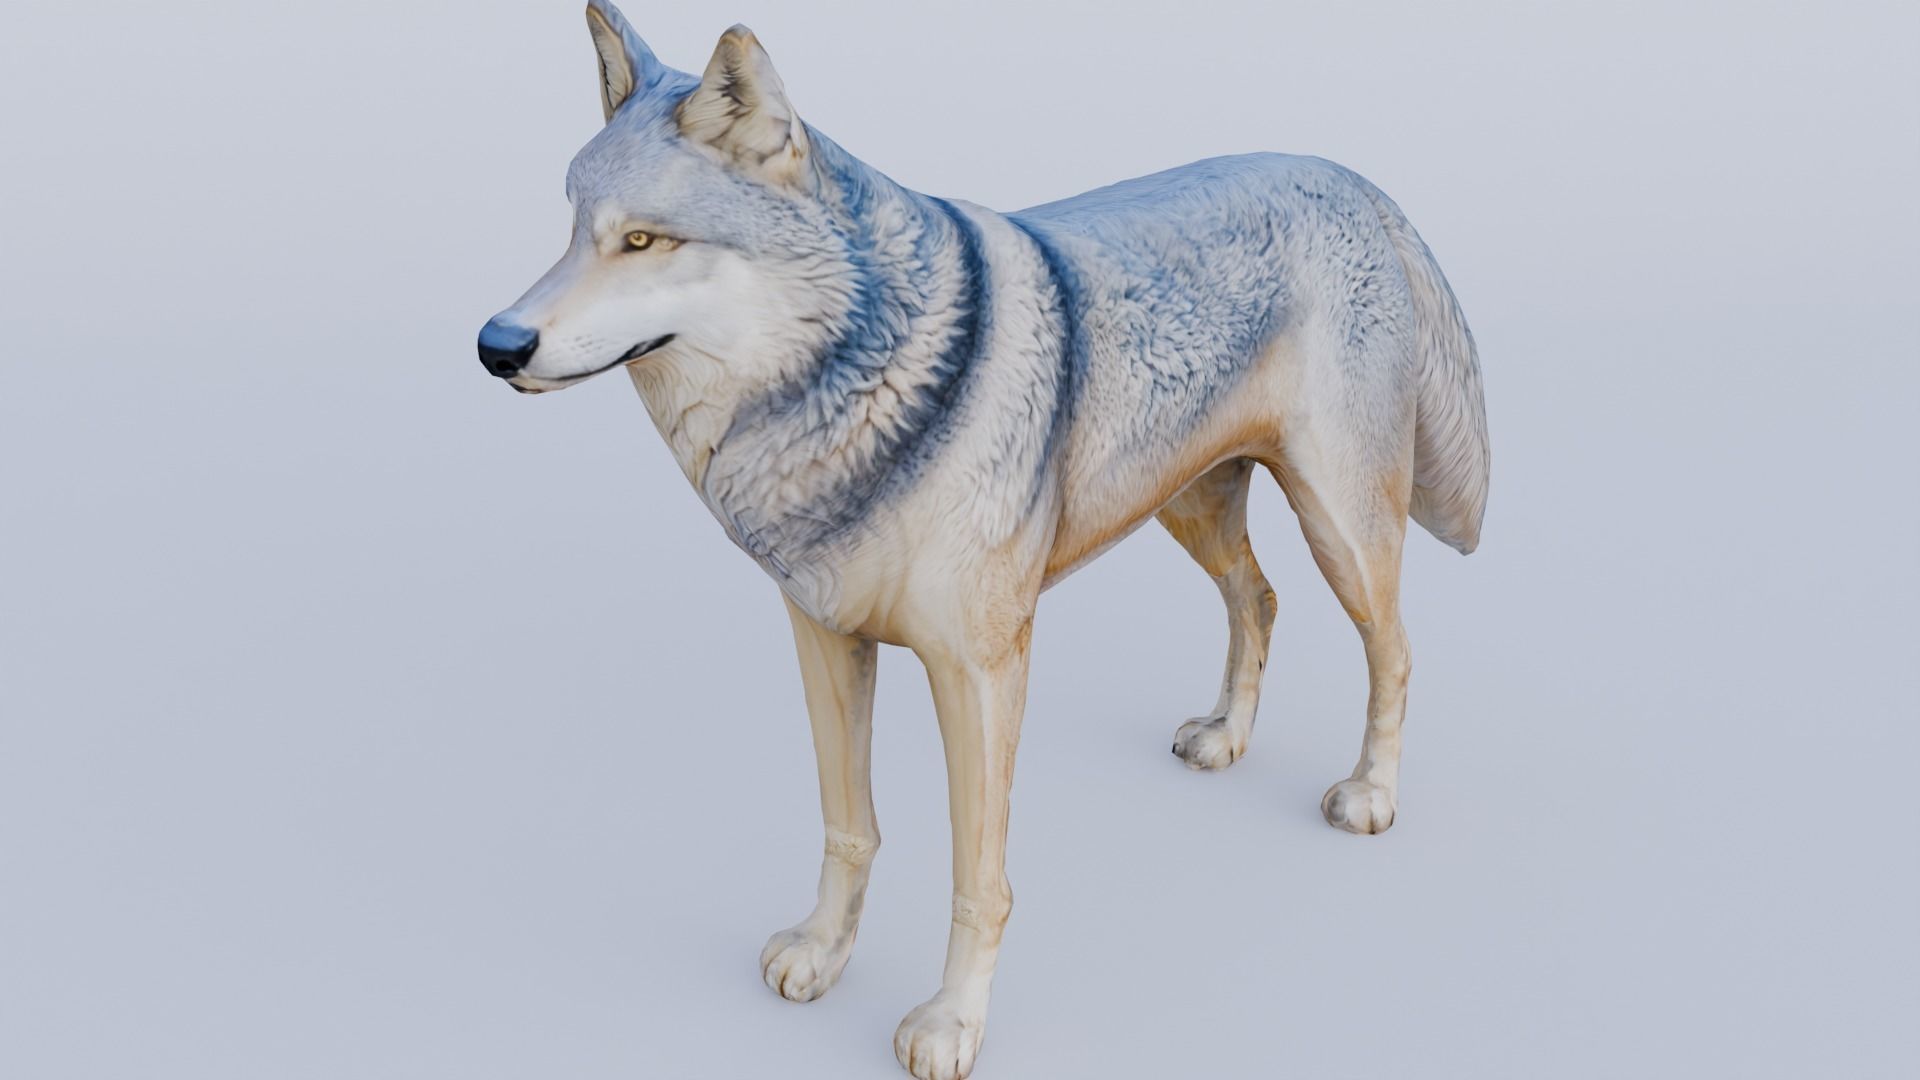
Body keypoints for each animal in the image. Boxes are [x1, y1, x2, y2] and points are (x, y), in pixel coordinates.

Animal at [477, 4, 1488, 1076]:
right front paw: (824, 954)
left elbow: (979, 877)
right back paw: (1227, 738)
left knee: (1394, 648)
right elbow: (849, 824)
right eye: (573, 232)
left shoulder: (982, 670)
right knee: (1258, 598)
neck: (844, 392)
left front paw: (950, 1024)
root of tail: (1351, 178)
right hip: (1190, 510)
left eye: (642, 240)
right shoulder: (824, 636)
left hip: (1339, 526)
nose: (496, 345)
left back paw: (1369, 795)